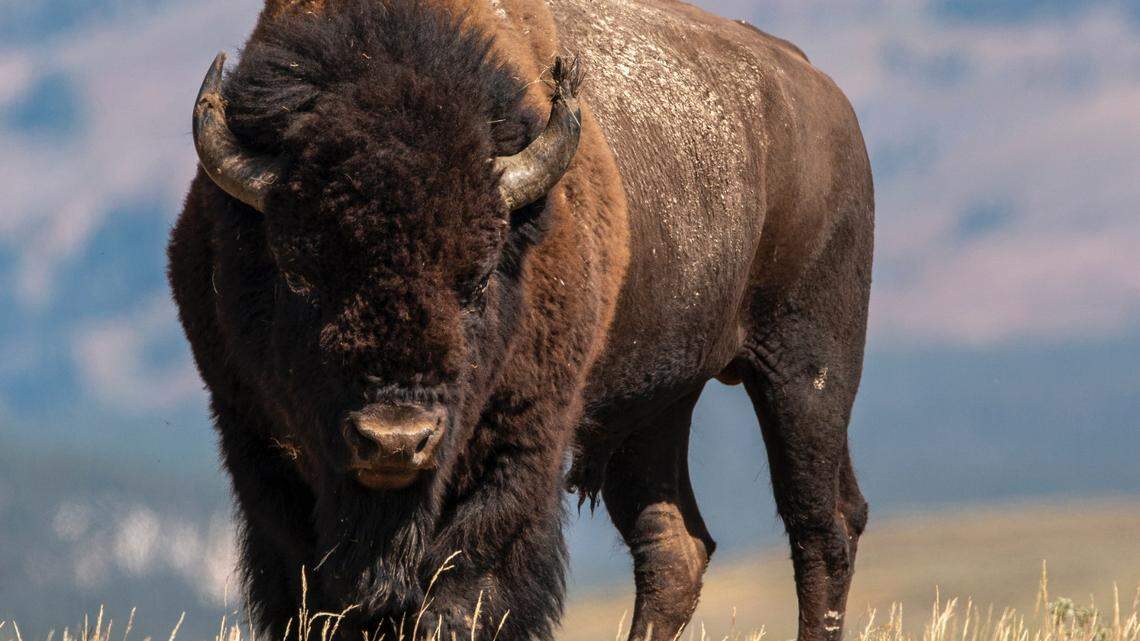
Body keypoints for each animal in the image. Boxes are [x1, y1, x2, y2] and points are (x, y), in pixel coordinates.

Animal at [168, 0, 874, 640]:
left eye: (477, 278)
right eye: (298, 274)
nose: (396, 439)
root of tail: (822, 93)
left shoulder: (521, 444)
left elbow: (462, 592)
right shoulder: (254, 438)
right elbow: (314, 593)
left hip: (805, 371)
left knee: (822, 530)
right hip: (655, 408)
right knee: (675, 549)